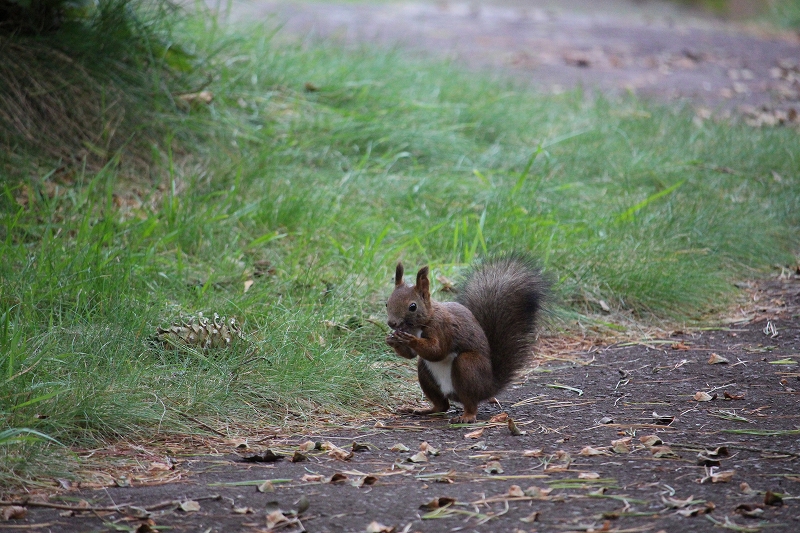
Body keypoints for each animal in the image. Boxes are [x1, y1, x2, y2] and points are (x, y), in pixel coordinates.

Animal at [384, 254, 548, 424]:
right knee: (441, 405)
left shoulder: (442, 328)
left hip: (468, 366)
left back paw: (466, 416)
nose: (391, 323)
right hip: (425, 372)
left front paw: (411, 340)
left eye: (413, 306)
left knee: (470, 402)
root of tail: (489, 386)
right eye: (387, 303)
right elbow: (411, 355)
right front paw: (392, 340)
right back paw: (421, 410)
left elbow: (437, 351)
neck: (421, 324)